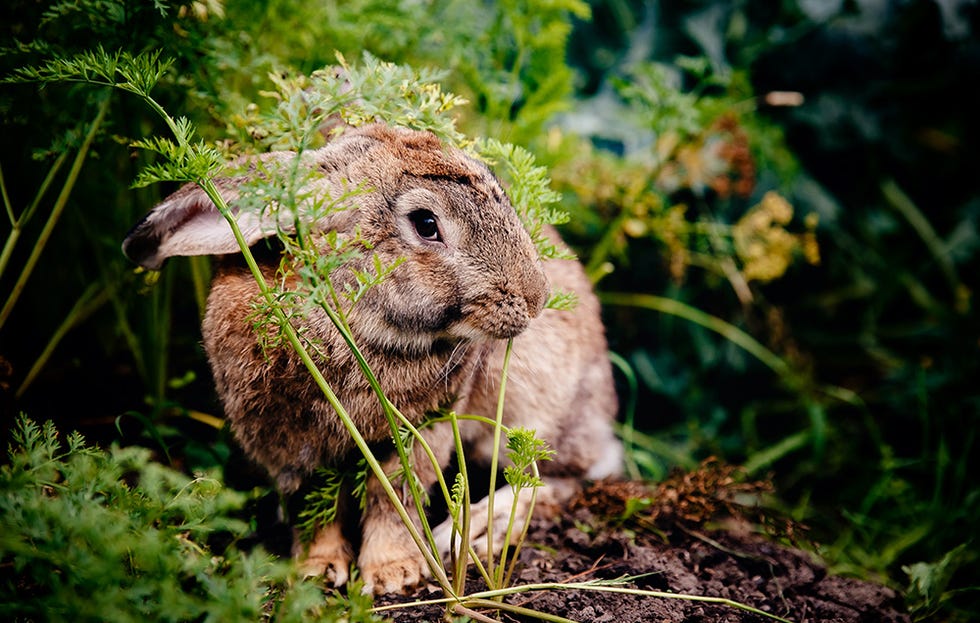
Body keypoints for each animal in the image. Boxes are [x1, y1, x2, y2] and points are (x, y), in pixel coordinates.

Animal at [122, 123, 620, 596]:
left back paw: (473, 531)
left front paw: (392, 574)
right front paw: (317, 571)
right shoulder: (287, 447)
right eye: (425, 223)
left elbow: (394, 495)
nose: (537, 296)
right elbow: (312, 507)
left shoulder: (421, 430)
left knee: (550, 479)